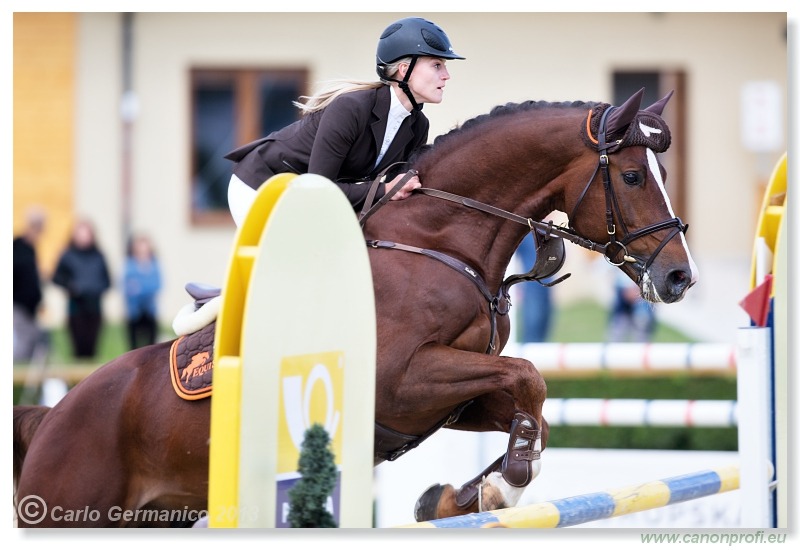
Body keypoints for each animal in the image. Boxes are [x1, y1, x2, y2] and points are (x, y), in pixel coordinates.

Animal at [15, 88, 696, 528]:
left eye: (662, 170)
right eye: (633, 176)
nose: (679, 277)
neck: (442, 242)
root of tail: (50, 417)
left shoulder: (447, 400)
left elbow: (529, 401)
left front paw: (462, 498)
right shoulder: (401, 379)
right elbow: (529, 377)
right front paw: (507, 479)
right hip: (68, 509)